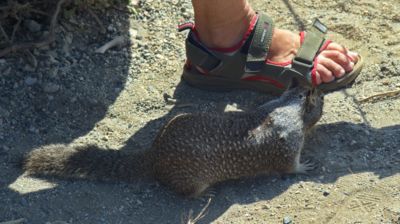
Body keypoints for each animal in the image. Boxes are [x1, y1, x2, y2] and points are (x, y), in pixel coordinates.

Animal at [23, 83, 324, 197]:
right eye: (320, 97)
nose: (323, 93)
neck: (288, 107)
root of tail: (153, 156)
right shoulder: (288, 145)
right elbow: (288, 166)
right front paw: (304, 168)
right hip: (191, 180)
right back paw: (204, 195)